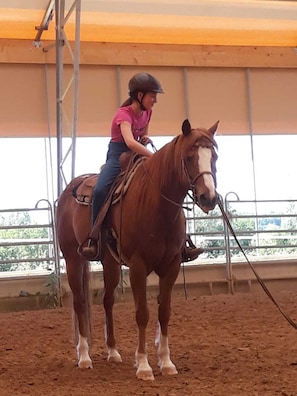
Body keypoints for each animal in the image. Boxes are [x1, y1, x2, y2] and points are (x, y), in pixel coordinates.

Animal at [55, 120, 217, 380]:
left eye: (214, 156)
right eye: (189, 157)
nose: (208, 197)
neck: (155, 204)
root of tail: (70, 187)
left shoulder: (171, 265)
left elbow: (164, 312)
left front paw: (166, 362)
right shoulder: (138, 267)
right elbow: (142, 313)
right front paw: (143, 365)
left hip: (110, 262)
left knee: (107, 300)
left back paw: (112, 352)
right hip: (73, 259)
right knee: (79, 302)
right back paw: (84, 356)